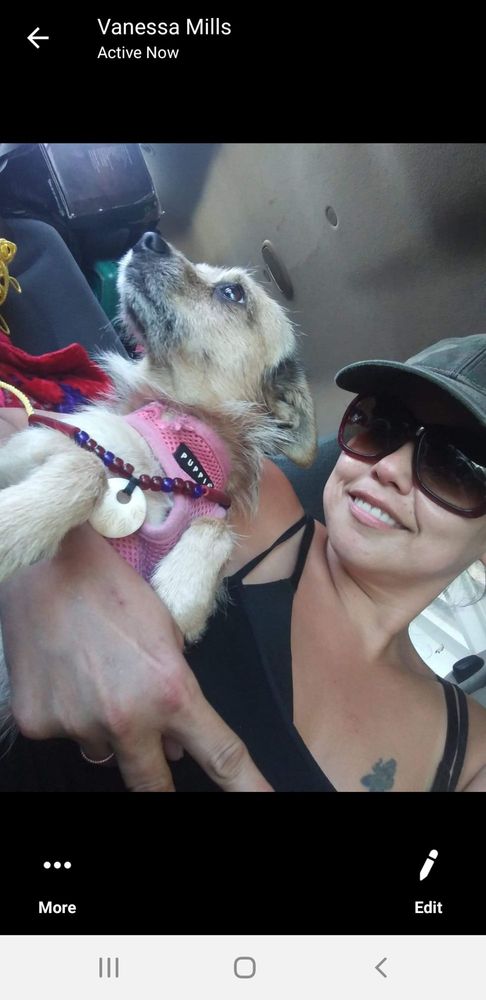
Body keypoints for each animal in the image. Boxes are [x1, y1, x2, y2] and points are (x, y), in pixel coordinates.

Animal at [0, 232, 317, 724]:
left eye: (232, 292)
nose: (149, 238)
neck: (173, 456)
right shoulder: (29, 444)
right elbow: (87, 466)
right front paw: (13, 528)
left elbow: (213, 530)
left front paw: (180, 581)